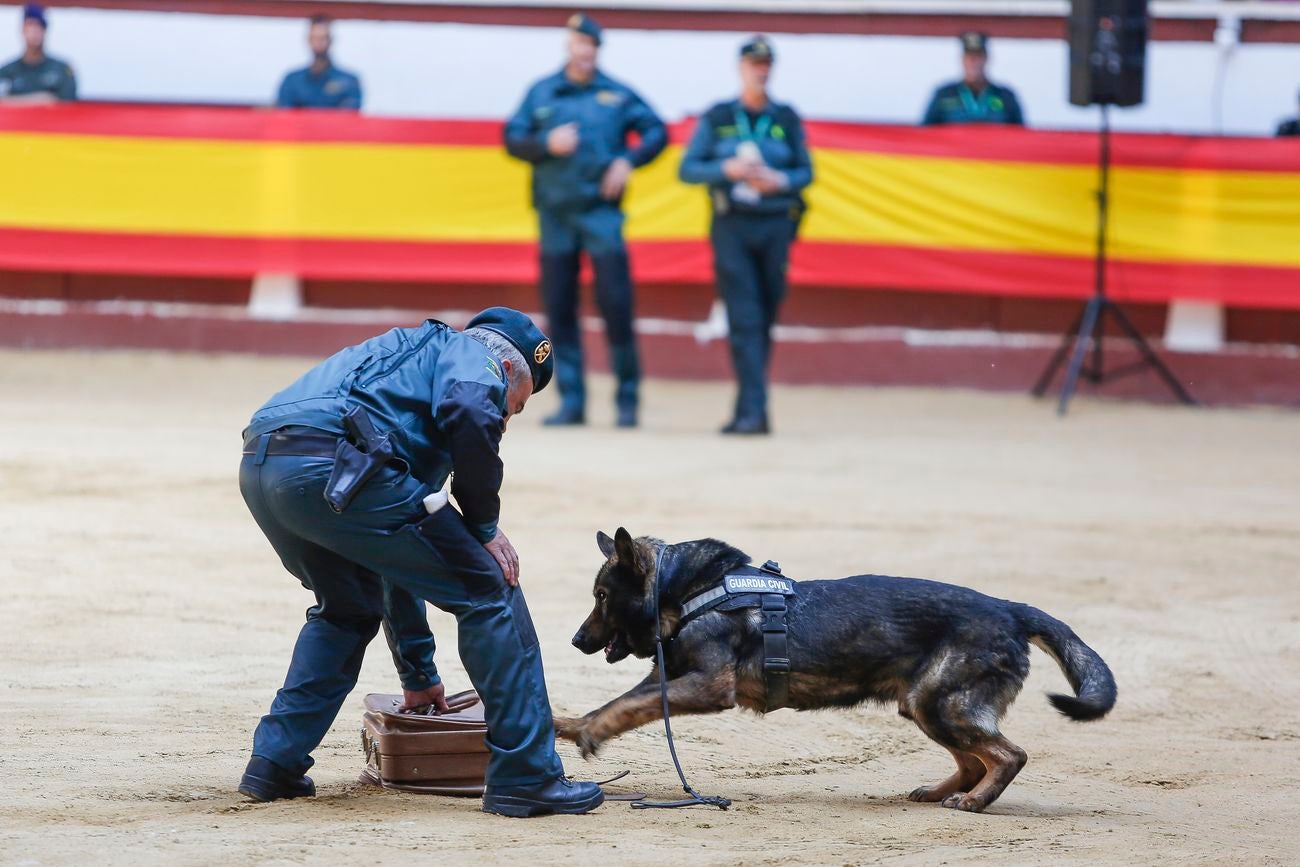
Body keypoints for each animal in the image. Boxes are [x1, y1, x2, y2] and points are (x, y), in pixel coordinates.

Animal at [559, 530, 1118, 816]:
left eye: (602, 596)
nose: (576, 641)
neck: (690, 589)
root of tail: (1009, 609)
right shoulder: (669, 679)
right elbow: (618, 703)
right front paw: (568, 725)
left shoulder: (706, 686)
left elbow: (625, 706)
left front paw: (589, 732)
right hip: (924, 705)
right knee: (972, 760)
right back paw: (942, 792)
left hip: (942, 705)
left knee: (1007, 755)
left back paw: (976, 801)